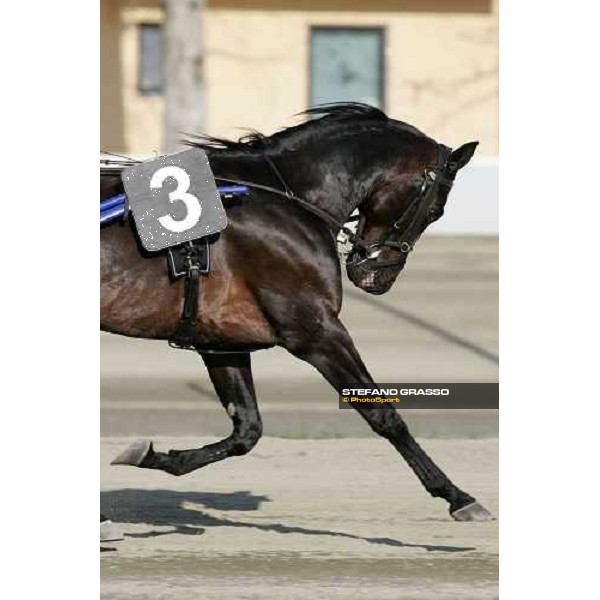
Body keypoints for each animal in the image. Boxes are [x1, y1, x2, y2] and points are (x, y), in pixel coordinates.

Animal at [101, 103, 490, 520]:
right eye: (436, 210)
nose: (377, 277)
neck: (284, 201)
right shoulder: (316, 331)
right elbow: (382, 414)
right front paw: (457, 496)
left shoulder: (222, 341)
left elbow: (247, 430)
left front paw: (151, 456)